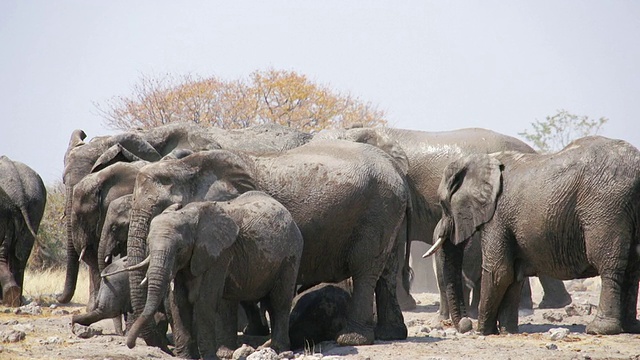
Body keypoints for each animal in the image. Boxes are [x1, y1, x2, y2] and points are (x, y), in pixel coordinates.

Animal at [117, 191, 302, 358]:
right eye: (148, 243)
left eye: (179, 249)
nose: (131, 345)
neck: (188, 215)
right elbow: (179, 302)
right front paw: (185, 357)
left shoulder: (218, 255)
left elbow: (204, 302)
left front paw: (208, 357)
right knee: (241, 303)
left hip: (290, 257)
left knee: (279, 301)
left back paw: (279, 349)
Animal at [424, 136, 640, 336]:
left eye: (443, 204)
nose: (465, 324)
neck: (481, 160)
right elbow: (513, 274)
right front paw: (507, 332)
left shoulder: (498, 215)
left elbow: (499, 271)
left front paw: (483, 332)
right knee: (632, 267)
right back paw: (631, 327)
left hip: (605, 207)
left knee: (608, 264)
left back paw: (600, 329)